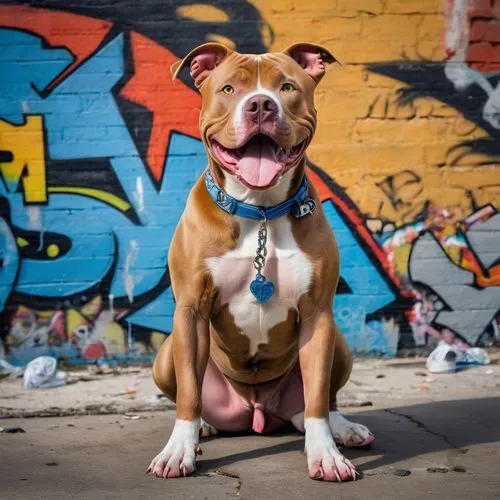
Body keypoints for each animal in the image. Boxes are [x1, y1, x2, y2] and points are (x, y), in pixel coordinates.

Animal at [148, 42, 376, 480]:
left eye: (286, 87)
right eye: (229, 89)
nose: (259, 105)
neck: (261, 212)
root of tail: (256, 411)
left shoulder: (318, 313)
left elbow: (317, 396)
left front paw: (325, 454)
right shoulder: (190, 310)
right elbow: (188, 394)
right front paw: (178, 450)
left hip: (338, 342)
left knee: (320, 400)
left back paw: (343, 429)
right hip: (166, 355)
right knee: (191, 390)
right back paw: (204, 427)